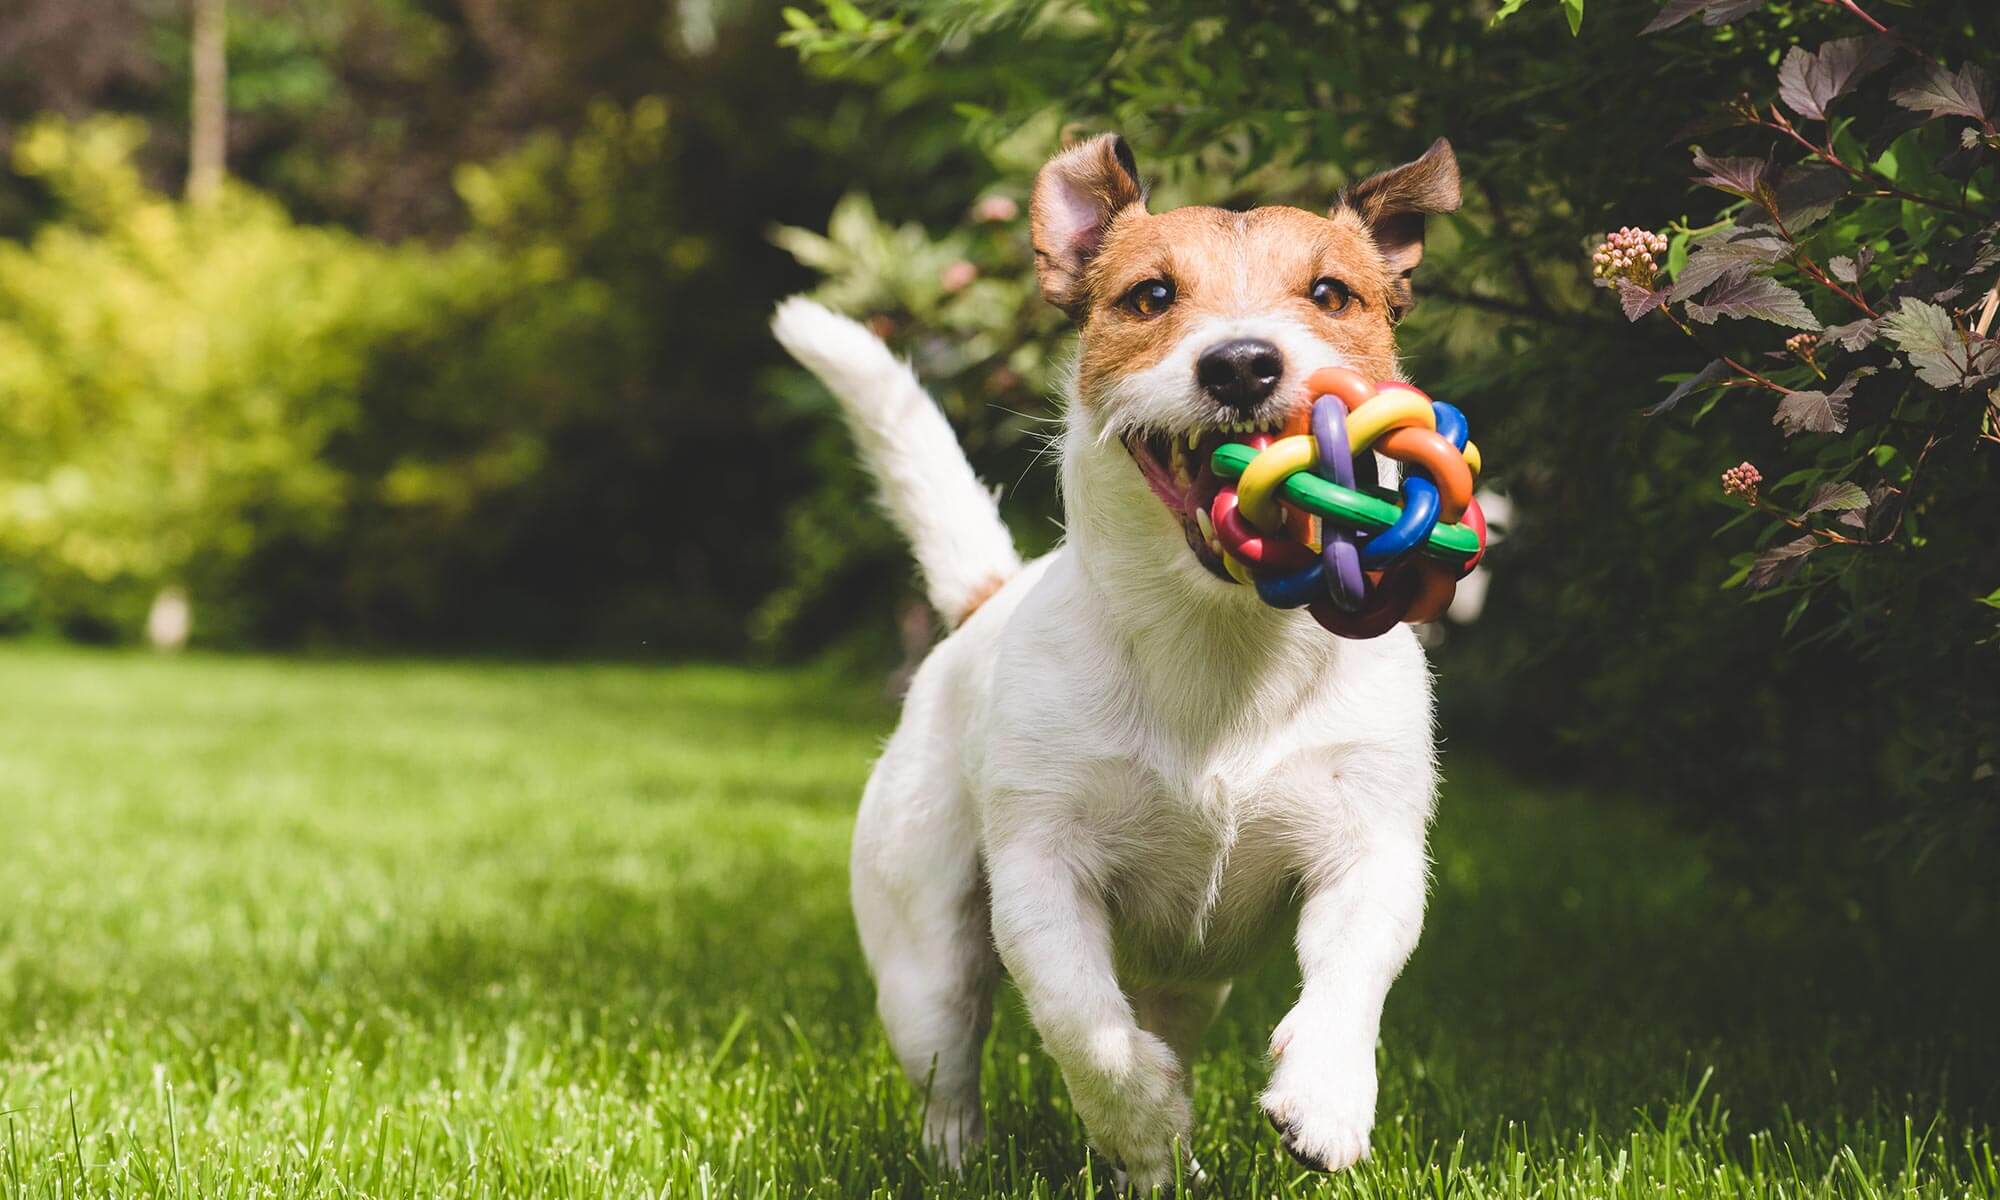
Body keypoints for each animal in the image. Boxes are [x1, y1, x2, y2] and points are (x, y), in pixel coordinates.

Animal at [772, 134, 1464, 1192]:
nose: (1242, 363)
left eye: (1331, 292)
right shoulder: (1040, 871)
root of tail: (986, 598)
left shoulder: (1370, 846)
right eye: (1150, 296)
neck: (1218, 639)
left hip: (1191, 978)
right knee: (952, 1060)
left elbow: (1353, 972)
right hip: (923, 951)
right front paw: (1139, 1117)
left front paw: (1326, 1097)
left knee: (1167, 1018)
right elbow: (1081, 1023)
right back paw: (977, 1156)